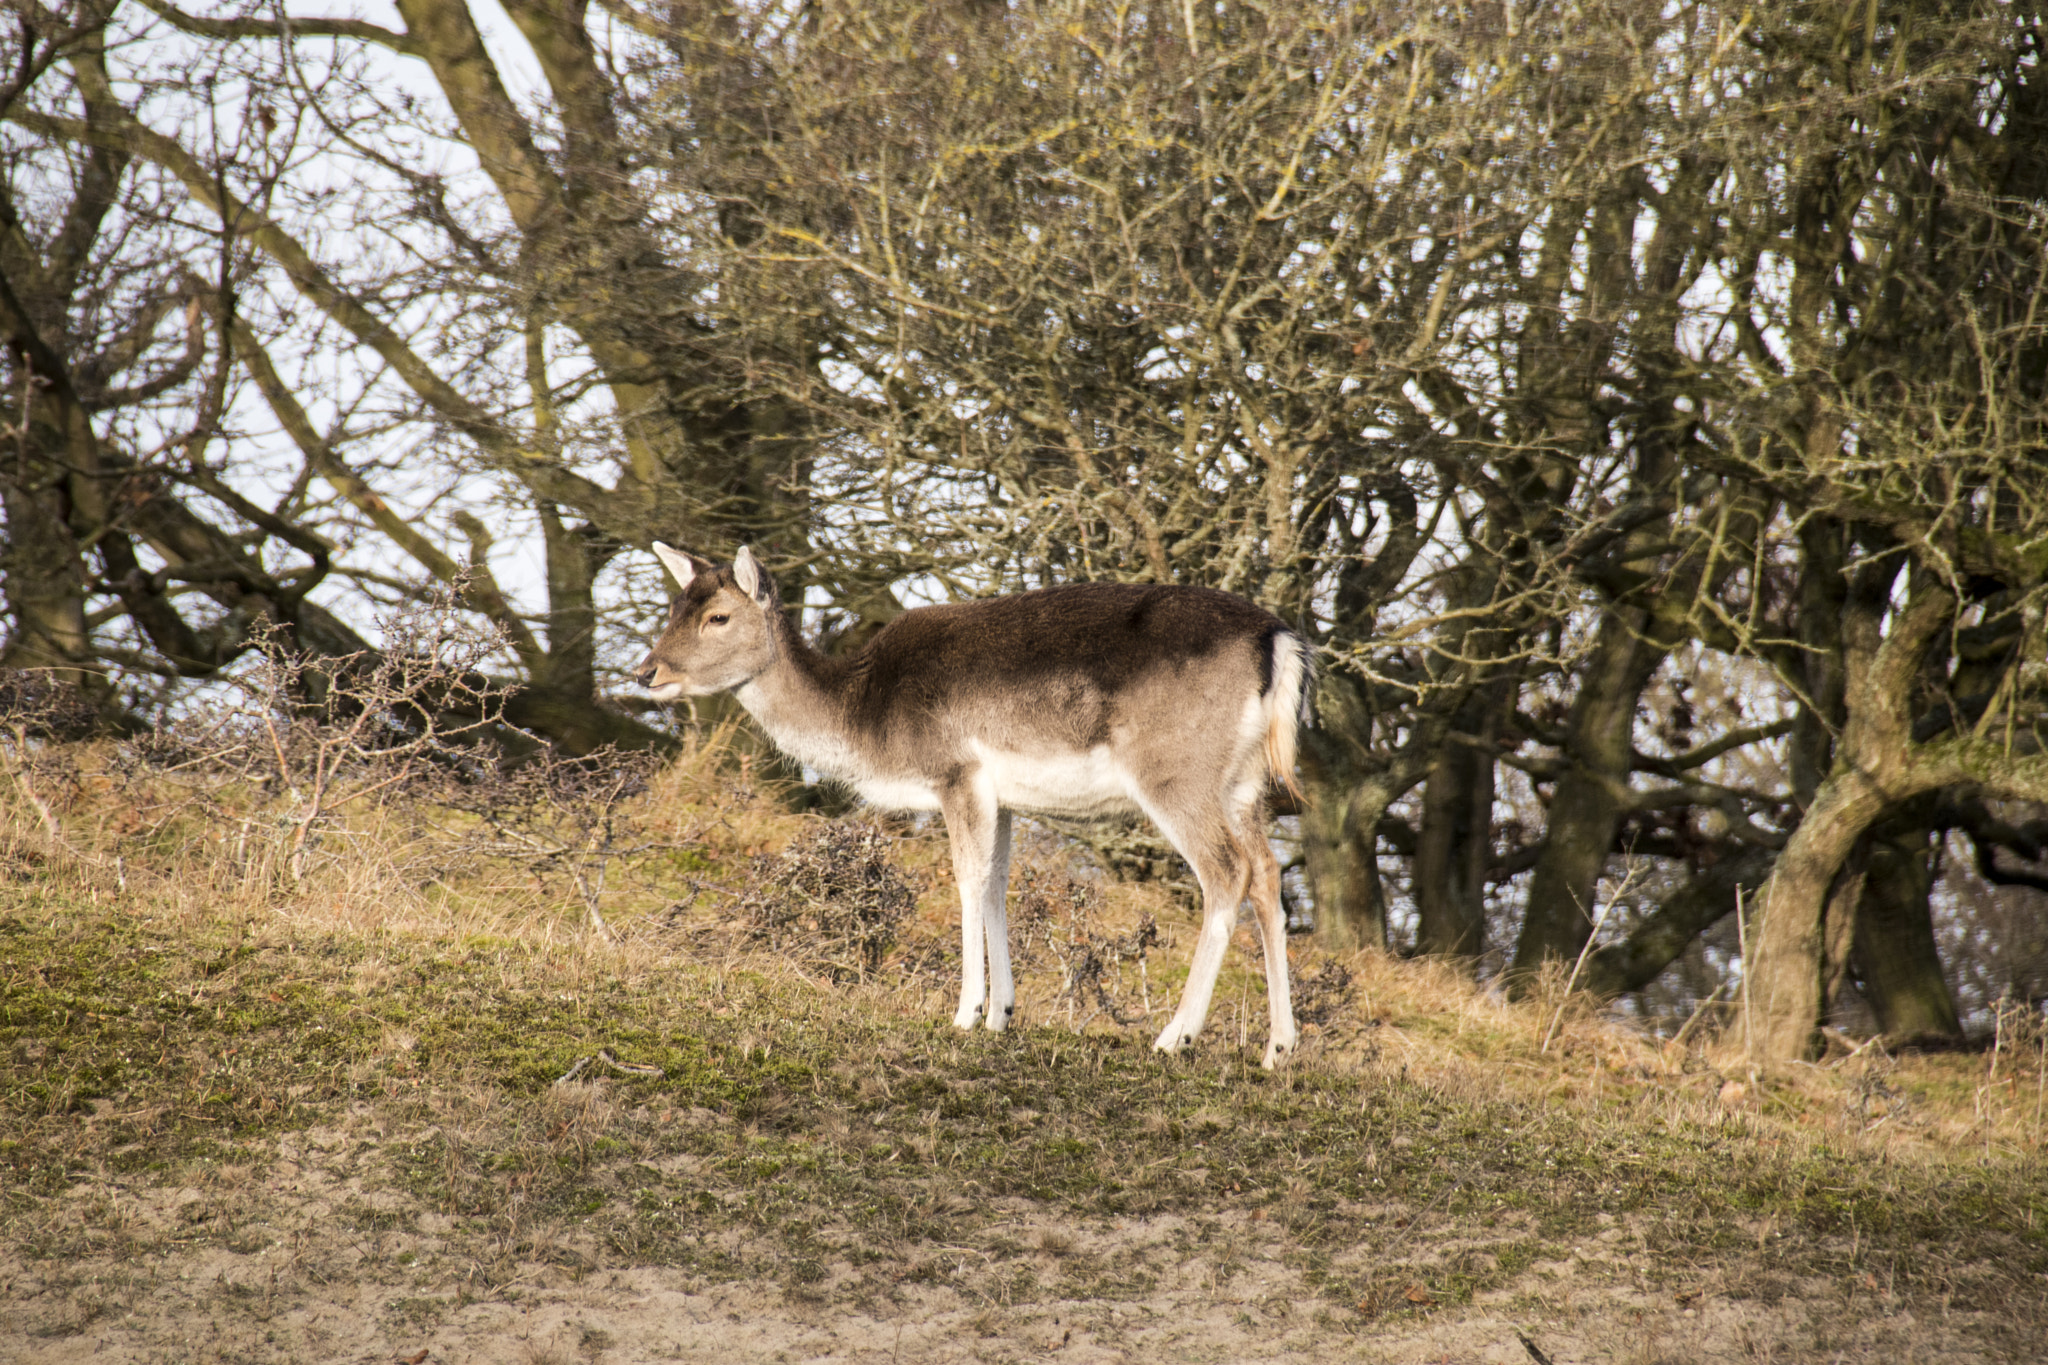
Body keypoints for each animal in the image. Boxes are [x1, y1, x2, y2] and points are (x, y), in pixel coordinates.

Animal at [635, 544, 1311, 1067]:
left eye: (718, 616)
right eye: (672, 608)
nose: (647, 672)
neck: (867, 722)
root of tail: (1279, 643)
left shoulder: (955, 771)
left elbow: (966, 879)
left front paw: (964, 1013)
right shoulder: (1001, 797)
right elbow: (996, 884)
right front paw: (1001, 1014)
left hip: (1177, 770)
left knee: (1227, 871)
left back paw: (1176, 1036)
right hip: (1244, 782)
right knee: (1267, 875)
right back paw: (1278, 1048)